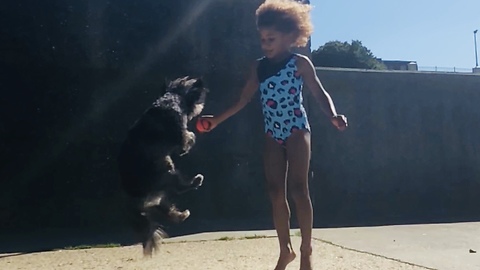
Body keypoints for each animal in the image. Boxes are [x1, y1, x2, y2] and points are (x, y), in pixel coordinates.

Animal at [117, 75, 208, 255]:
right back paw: (196, 181)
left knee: (165, 209)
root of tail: (131, 196)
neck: (171, 99)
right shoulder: (180, 136)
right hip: (166, 172)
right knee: (178, 188)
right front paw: (191, 139)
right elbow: (187, 138)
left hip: (160, 185)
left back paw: (182, 215)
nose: (200, 106)